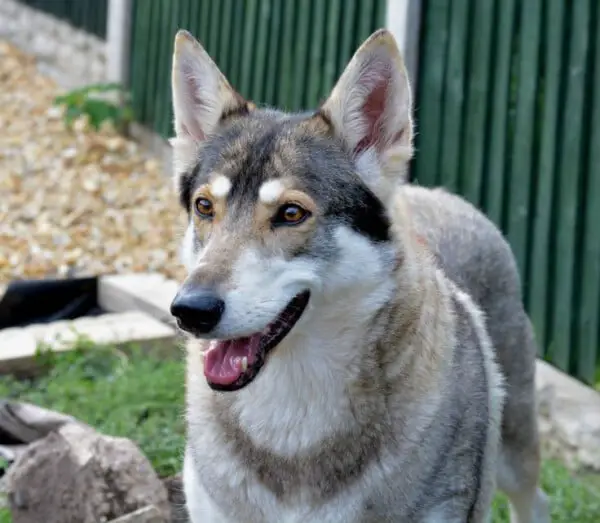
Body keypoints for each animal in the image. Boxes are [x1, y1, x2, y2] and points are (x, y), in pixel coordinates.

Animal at [166, 26, 552, 520]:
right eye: (204, 207)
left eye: (290, 213)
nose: (190, 310)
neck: (293, 421)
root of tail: (448, 196)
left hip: (515, 457)